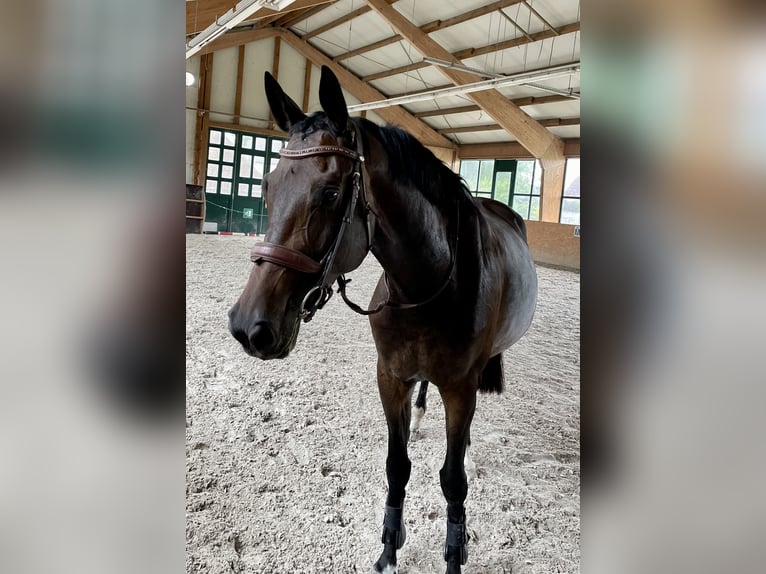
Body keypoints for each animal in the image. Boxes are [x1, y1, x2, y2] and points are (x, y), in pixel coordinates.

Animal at [230, 66, 540, 572]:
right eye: (268, 187)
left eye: (331, 193)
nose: (248, 325)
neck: (427, 287)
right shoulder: (390, 377)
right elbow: (398, 466)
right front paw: (389, 548)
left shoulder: (461, 388)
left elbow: (453, 480)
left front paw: (455, 553)